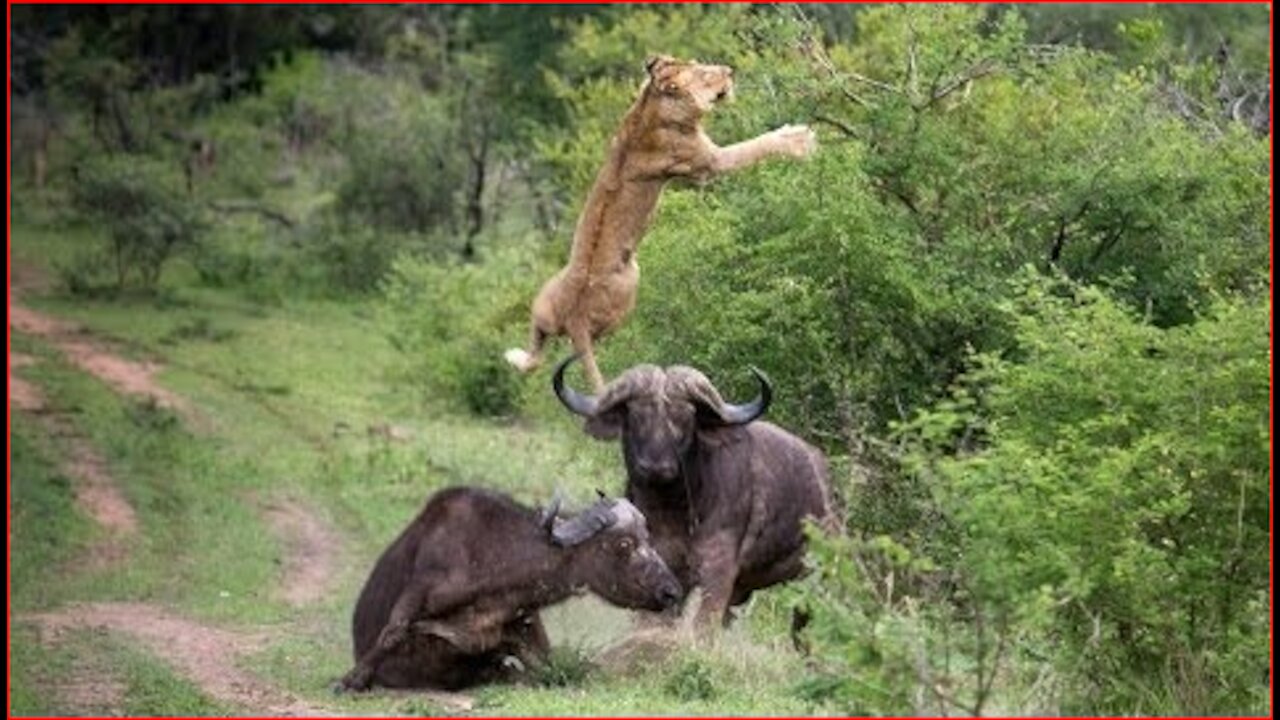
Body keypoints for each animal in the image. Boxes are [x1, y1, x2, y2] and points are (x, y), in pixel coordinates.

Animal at [337, 484, 680, 686]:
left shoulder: (525, 628)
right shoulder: (421, 589)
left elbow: (549, 666)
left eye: (648, 538)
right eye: (624, 544)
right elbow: (392, 632)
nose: (671, 591)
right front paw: (352, 678)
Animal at [504, 53, 814, 389]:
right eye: (705, 74)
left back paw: (515, 356)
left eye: (700, 63)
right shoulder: (709, 163)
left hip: (543, 304)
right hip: (628, 288)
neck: (651, 106)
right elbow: (756, 145)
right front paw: (800, 139)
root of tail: (575, 321)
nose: (730, 70)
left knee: (537, 351)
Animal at [552, 356, 839, 625]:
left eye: (685, 419)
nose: (656, 467)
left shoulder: (718, 571)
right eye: (636, 416)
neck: (672, 512)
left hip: (814, 583)